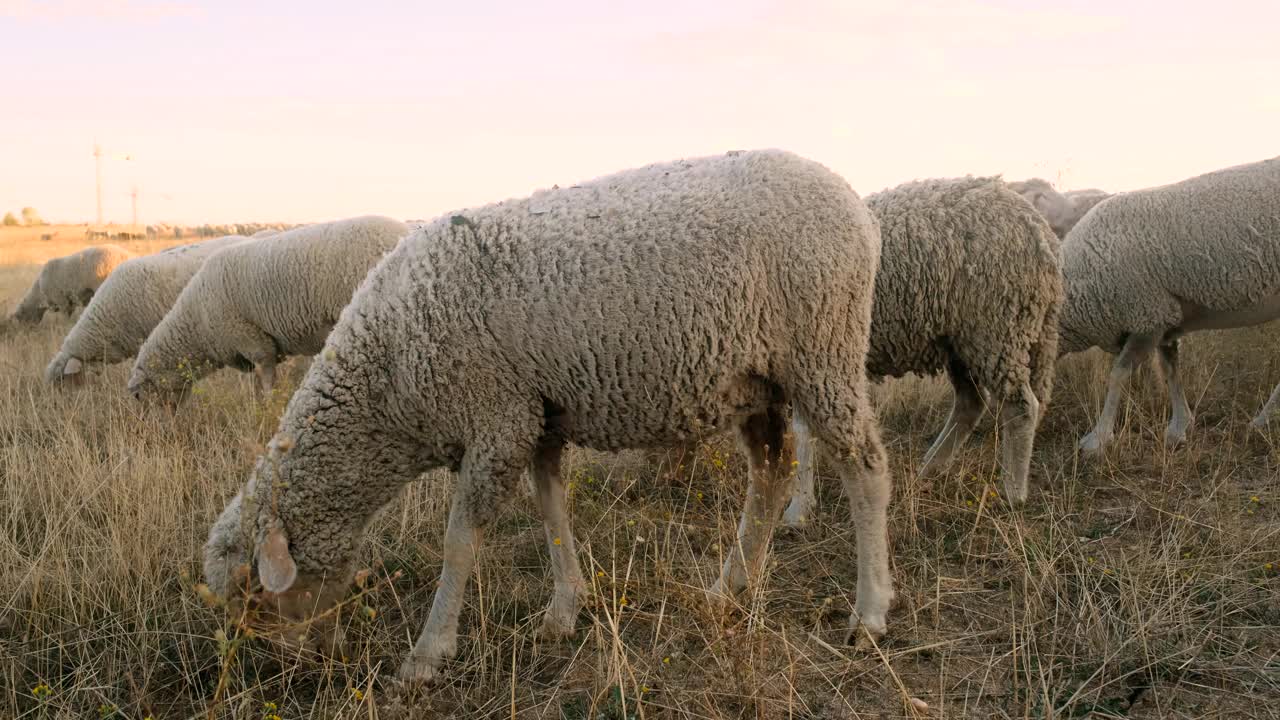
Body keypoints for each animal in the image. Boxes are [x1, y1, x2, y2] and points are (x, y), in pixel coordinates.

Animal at [127, 212, 407, 397]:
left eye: (139, 396)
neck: (197, 324)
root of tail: (404, 232)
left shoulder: (253, 342)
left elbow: (267, 380)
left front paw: (267, 405)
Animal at [202, 149, 901, 676]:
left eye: (255, 599)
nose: (294, 668)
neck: (387, 380)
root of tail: (853, 201)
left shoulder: (496, 419)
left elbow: (460, 542)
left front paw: (428, 654)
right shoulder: (535, 418)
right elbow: (551, 513)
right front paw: (564, 611)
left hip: (823, 351)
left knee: (865, 469)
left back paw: (868, 612)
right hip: (757, 380)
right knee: (772, 472)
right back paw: (730, 588)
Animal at [778, 174, 1059, 520]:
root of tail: (1041, 230)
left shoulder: (811, 353)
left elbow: (802, 435)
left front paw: (797, 511)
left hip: (997, 327)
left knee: (1020, 407)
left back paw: (1012, 492)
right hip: (961, 339)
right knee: (972, 403)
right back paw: (929, 469)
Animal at [1059, 155, 1280, 453]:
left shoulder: (1147, 316)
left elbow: (1118, 374)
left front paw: (1097, 438)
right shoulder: (1165, 317)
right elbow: (1170, 370)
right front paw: (1179, 426)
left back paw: (1262, 420)